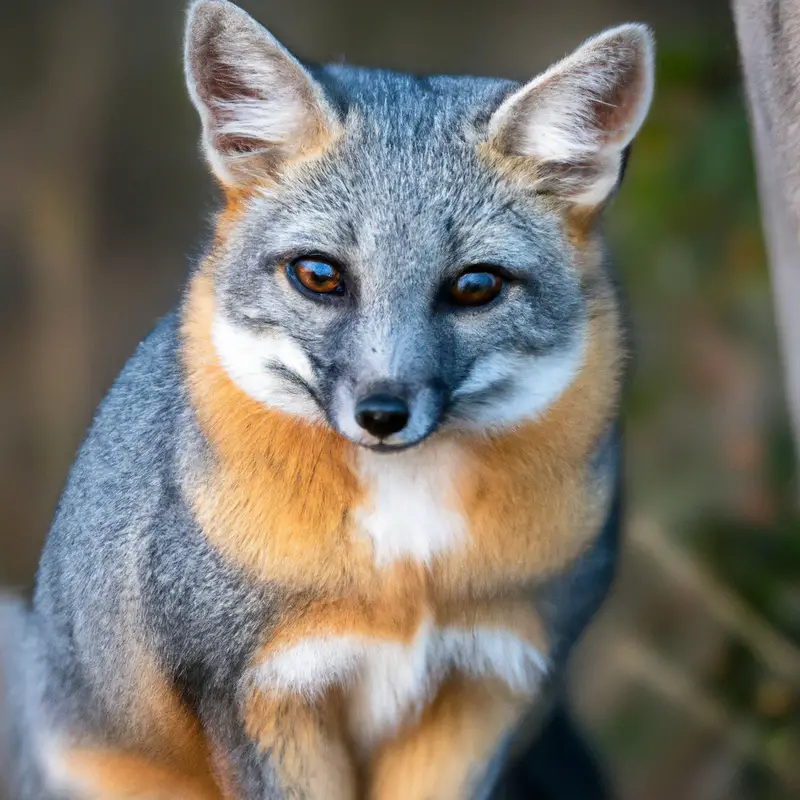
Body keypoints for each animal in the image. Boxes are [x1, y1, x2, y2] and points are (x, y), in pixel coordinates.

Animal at [0, 3, 652, 796]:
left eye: (475, 286)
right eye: (319, 276)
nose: (383, 414)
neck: (407, 566)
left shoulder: (489, 686)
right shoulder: (257, 693)